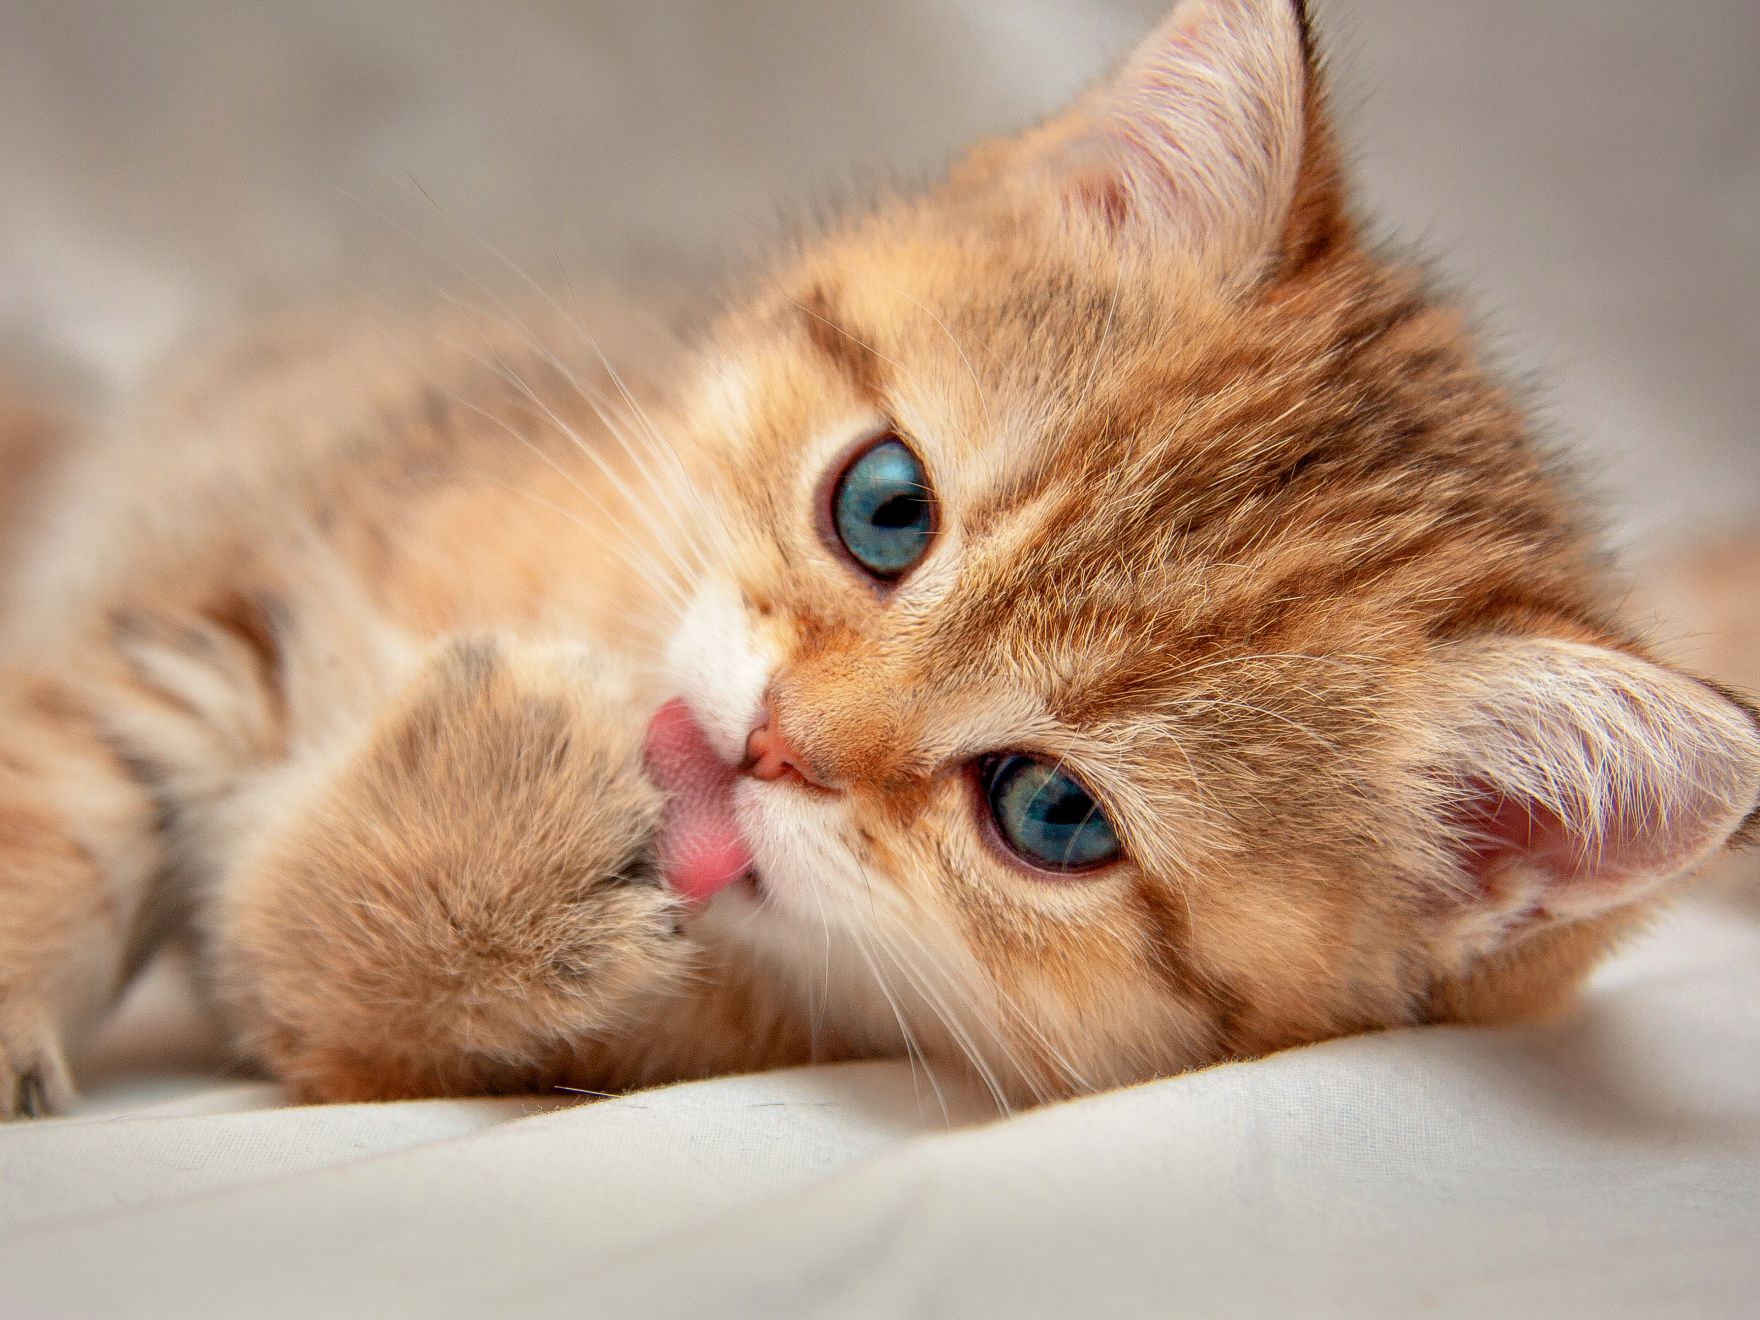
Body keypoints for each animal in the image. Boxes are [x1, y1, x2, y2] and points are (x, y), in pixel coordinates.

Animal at [3, 0, 1760, 1119]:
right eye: (886, 507)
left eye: (1052, 814)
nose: (769, 742)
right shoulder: (227, 553)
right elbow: (61, 788)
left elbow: (307, 977)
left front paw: (489, 833)